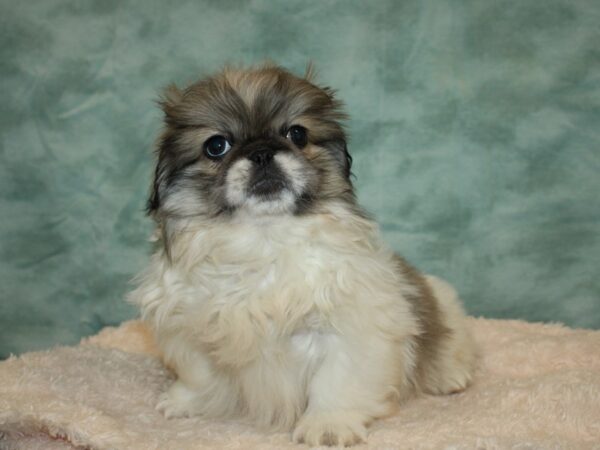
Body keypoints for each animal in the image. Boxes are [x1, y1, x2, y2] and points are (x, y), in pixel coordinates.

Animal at [129, 64, 476, 446]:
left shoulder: (353, 328)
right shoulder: (187, 329)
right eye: (216, 146)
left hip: (443, 308)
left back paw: (450, 376)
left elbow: (337, 382)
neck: (264, 241)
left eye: (297, 134)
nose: (263, 152)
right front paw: (187, 402)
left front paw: (328, 425)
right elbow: (199, 375)